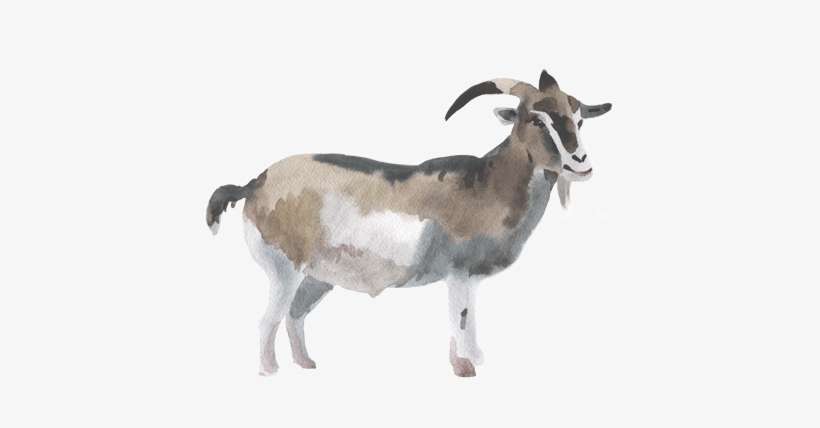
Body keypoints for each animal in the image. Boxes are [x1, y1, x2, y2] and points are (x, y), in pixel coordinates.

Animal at [206, 70, 612, 377]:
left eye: (577, 119)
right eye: (535, 118)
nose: (580, 163)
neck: (483, 182)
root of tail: (256, 183)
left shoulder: (469, 277)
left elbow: (468, 317)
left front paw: (470, 361)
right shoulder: (458, 272)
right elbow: (460, 316)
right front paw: (465, 368)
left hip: (317, 277)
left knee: (294, 315)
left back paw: (306, 364)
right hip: (285, 270)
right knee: (268, 320)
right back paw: (270, 372)